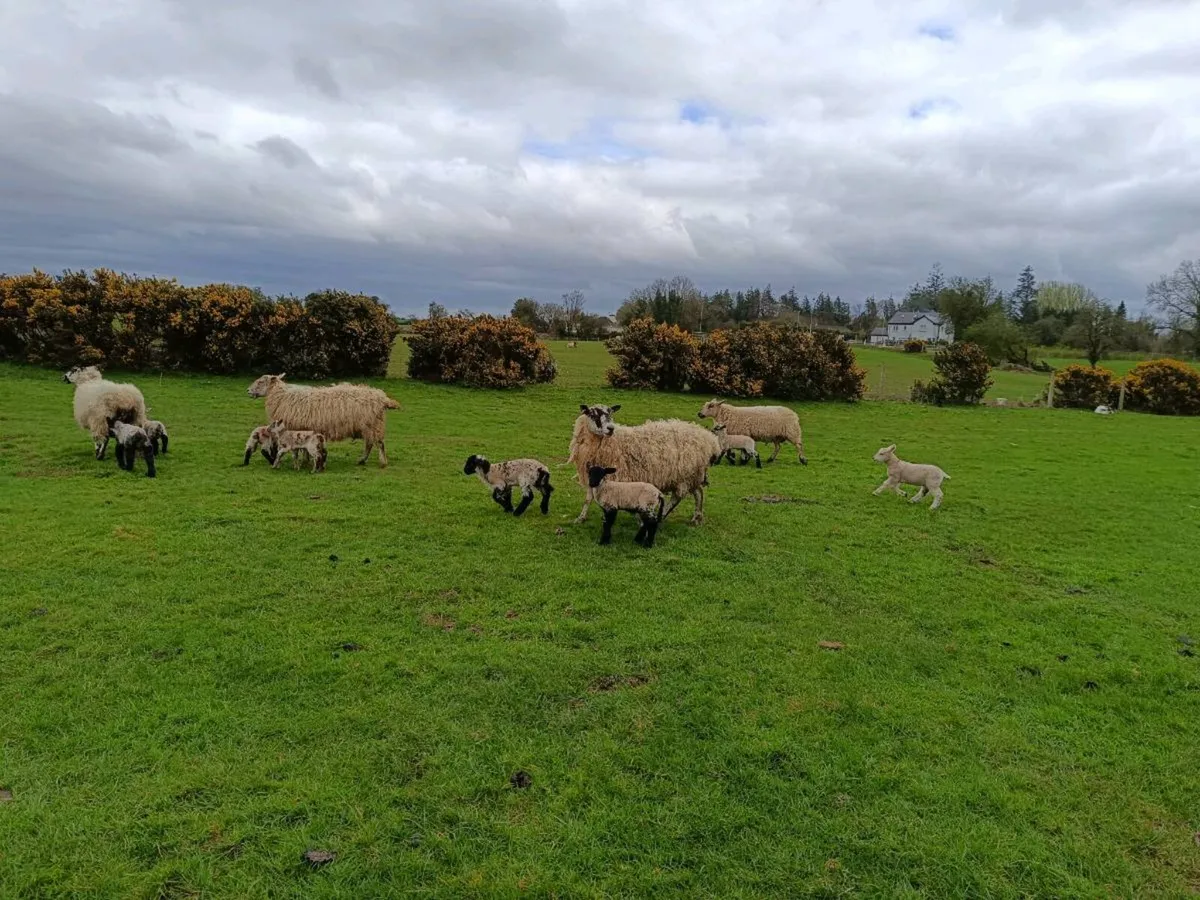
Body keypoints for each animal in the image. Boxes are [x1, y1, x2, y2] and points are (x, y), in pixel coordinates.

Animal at [246, 373, 400, 468]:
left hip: (373, 425)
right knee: (370, 444)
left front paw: (304, 462)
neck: (281, 396)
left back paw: (381, 462)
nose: (247, 391)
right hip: (369, 426)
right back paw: (362, 461)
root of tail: (382, 398)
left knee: (378, 444)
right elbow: (304, 448)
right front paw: (306, 461)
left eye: (261, 381)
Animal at [568, 403, 720, 526]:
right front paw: (581, 518)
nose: (610, 428)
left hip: (685, 474)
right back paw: (696, 518)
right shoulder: (592, 476)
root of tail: (709, 439)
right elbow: (588, 498)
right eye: (593, 414)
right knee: (699, 492)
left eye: (611, 413)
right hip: (692, 475)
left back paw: (662, 516)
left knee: (678, 497)